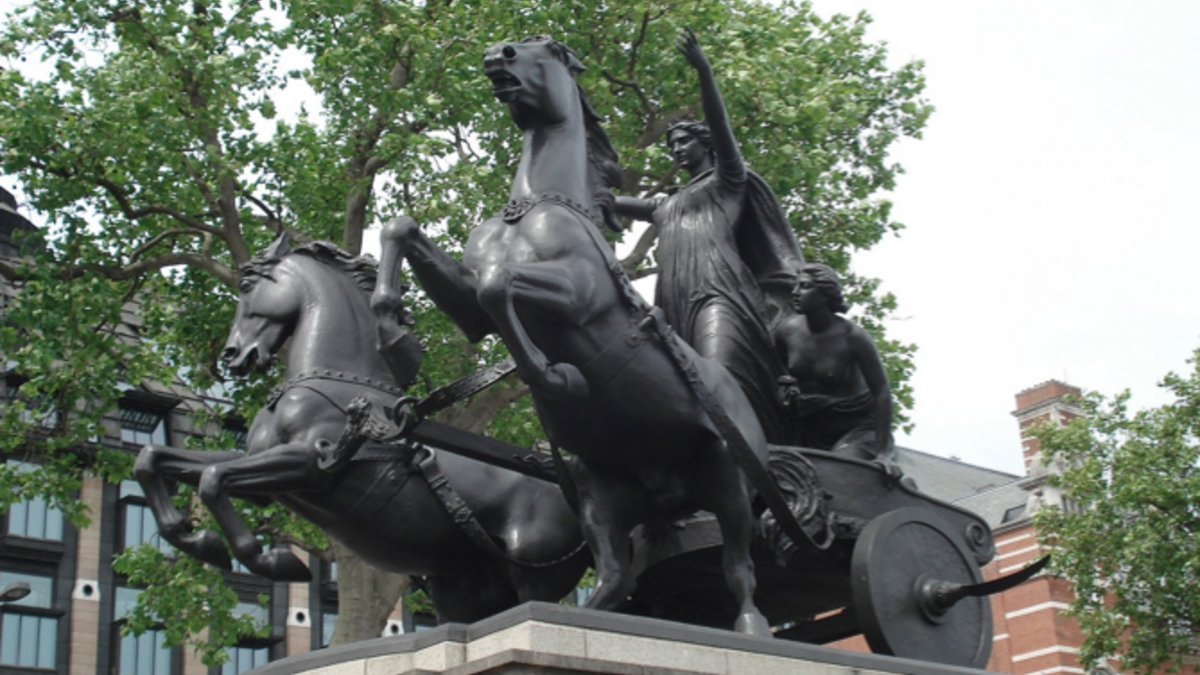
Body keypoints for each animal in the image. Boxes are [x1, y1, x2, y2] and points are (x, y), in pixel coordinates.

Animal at [369, 34, 772, 629]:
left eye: (546, 48)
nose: (498, 53)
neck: (535, 205)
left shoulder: (577, 292)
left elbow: (499, 286)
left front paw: (556, 377)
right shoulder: (470, 306)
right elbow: (404, 230)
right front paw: (396, 339)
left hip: (728, 476)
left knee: (739, 566)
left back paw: (750, 625)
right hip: (599, 494)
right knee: (615, 577)